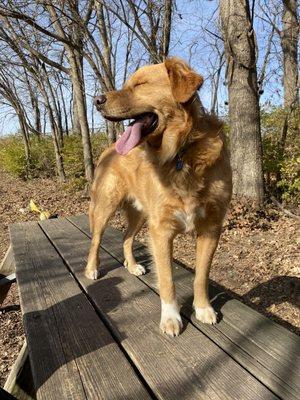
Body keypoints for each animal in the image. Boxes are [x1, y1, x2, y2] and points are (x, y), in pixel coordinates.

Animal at [85, 57, 233, 336]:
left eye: (140, 84)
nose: (97, 100)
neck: (181, 153)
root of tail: (109, 150)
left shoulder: (211, 228)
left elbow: (201, 276)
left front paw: (203, 308)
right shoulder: (161, 230)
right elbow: (167, 279)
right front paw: (171, 317)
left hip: (140, 214)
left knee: (126, 237)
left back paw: (132, 264)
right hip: (106, 207)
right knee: (96, 240)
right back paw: (92, 268)